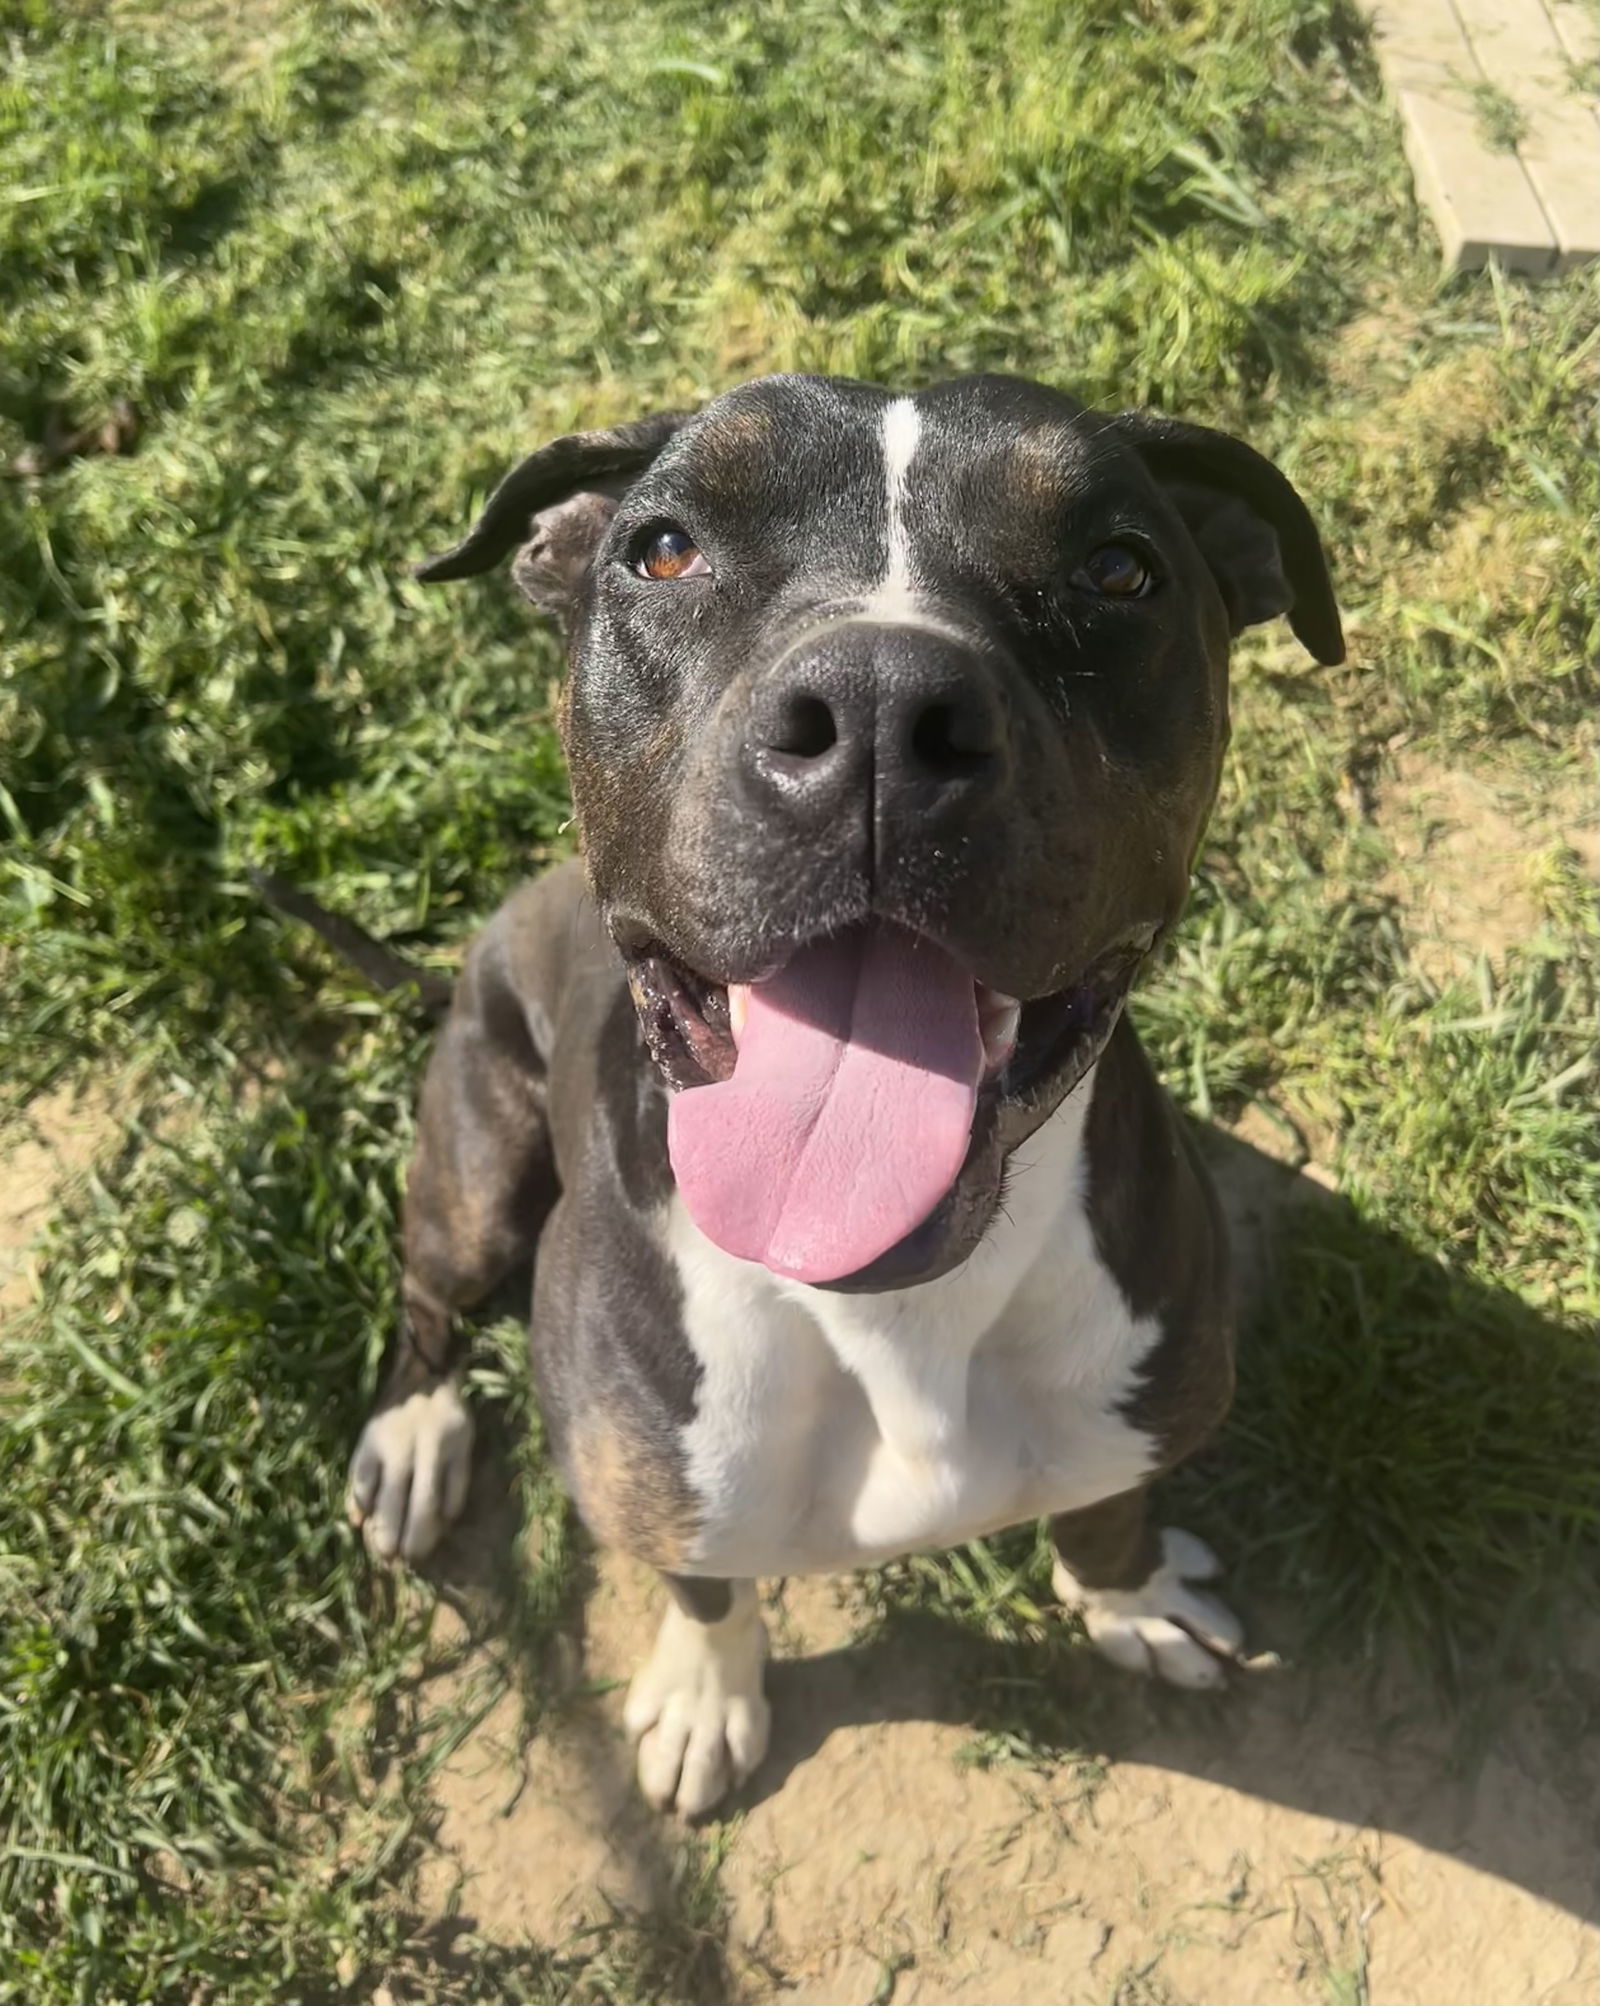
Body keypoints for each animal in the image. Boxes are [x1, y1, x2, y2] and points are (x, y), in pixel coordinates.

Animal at [344, 373, 1347, 1821]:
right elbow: (703, 1582)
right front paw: (706, 1693)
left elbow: (1104, 1508)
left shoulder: (1138, 1408)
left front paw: (1131, 1597)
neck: (894, 1308)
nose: (879, 706)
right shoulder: (661, 1487)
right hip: (475, 1170)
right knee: (430, 1293)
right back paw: (415, 1432)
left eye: (1118, 569)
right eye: (663, 550)